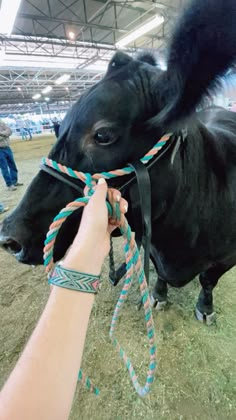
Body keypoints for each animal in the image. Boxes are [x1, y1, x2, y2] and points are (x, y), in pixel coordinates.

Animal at [1, 0, 236, 324]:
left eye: (102, 134)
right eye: (60, 126)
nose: (9, 237)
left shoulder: (228, 256)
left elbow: (208, 279)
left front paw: (205, 307)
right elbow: (156, 273)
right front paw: (158, 295)